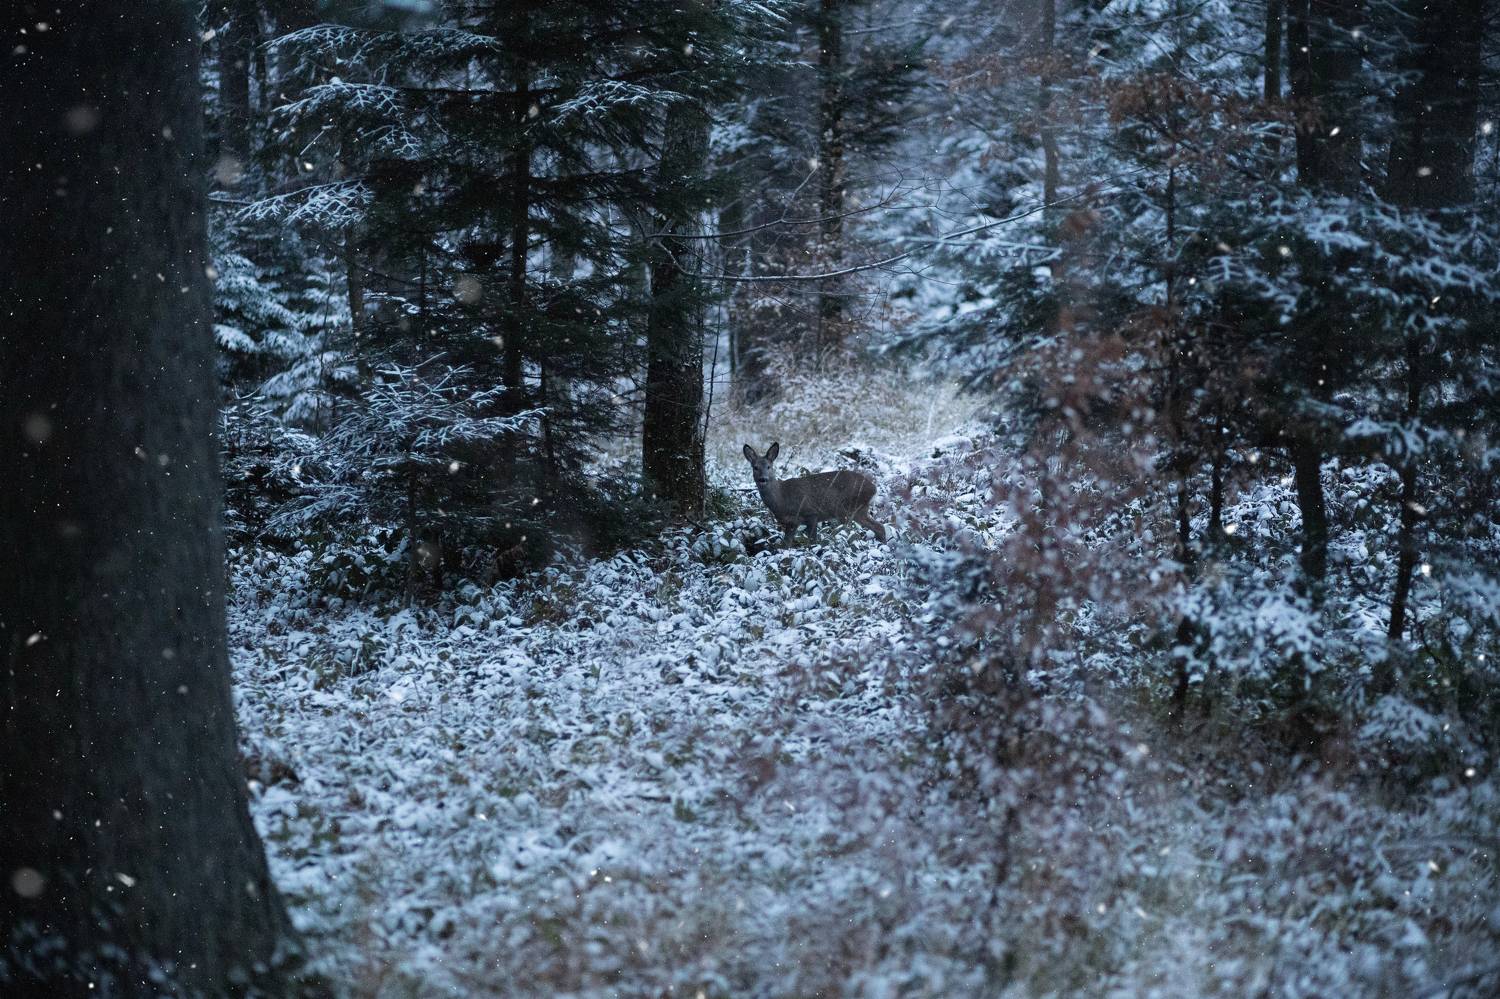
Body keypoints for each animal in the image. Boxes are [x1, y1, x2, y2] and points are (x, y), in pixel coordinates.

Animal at [742, 442, 887, 546]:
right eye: (755, 467)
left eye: (769, 467)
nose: (763, 479)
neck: (782, 499)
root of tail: (874, 488)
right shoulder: (791, 523)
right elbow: (785, 545)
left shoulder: (811, 513)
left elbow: (812, 541)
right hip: (859, 510)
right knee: (879, 527)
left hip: (848, 509)